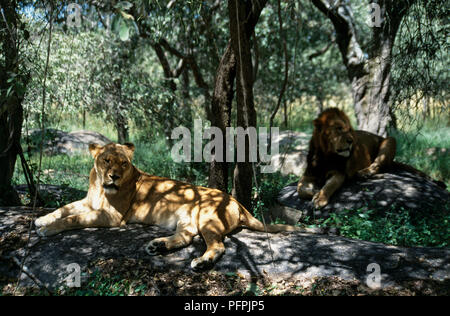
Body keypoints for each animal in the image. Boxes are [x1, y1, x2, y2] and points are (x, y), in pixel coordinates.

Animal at [35, 143, 300, 270]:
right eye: (106, 160)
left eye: (123, 163)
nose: (114, 177)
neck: (100, 186)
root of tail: (238, 203)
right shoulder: (88, 202)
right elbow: (64, 208)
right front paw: (41, 220)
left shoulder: (111, 217)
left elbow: (74, 218)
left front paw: (47, 229)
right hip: (187, 220)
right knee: (185, 237)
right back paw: (157, 246)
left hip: (207, 217)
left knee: (217, 246)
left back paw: (201, 262)